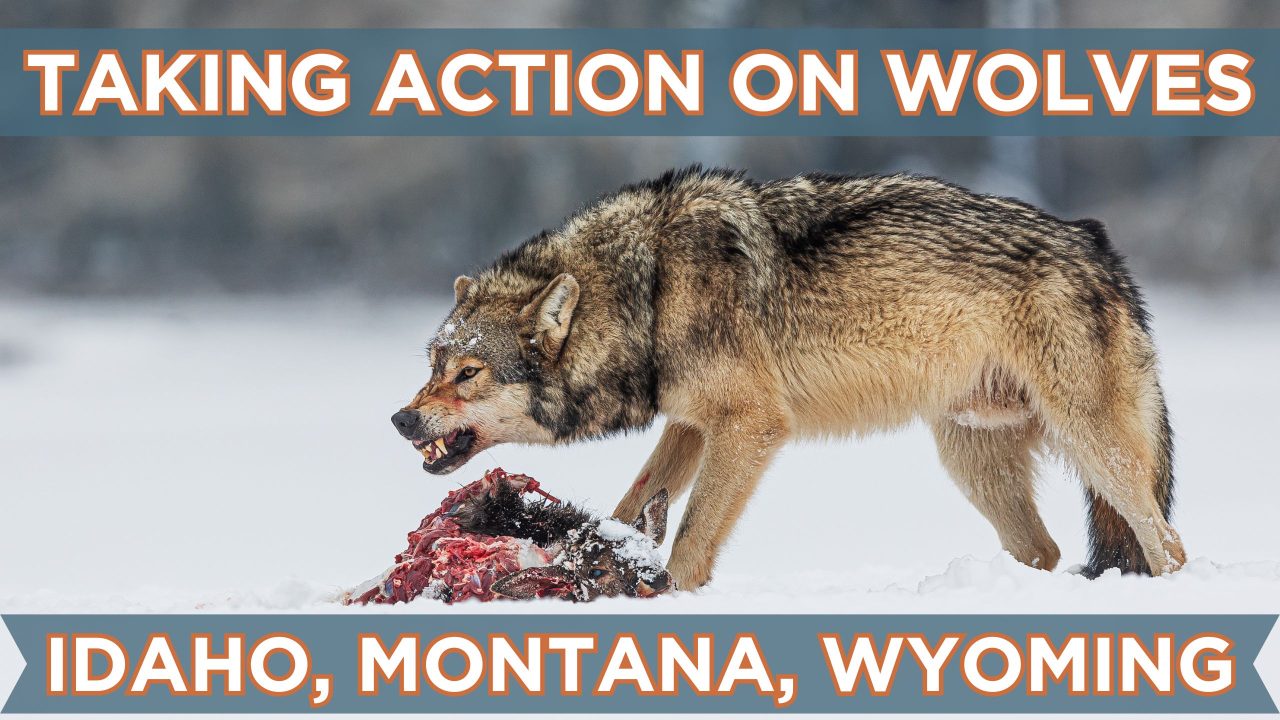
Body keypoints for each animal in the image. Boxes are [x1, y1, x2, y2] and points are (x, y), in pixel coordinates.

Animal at [390, 166, 1186, 590]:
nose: (400, 419)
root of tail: (1097, 244)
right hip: (972, 459)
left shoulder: (750, 426)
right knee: (1045, 551)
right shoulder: (690, 424)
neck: (648, 290)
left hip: (1092, 448)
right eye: (433, 365)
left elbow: (691, 542)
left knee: (1165, 544)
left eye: (468, 373)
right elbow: (632, 503)